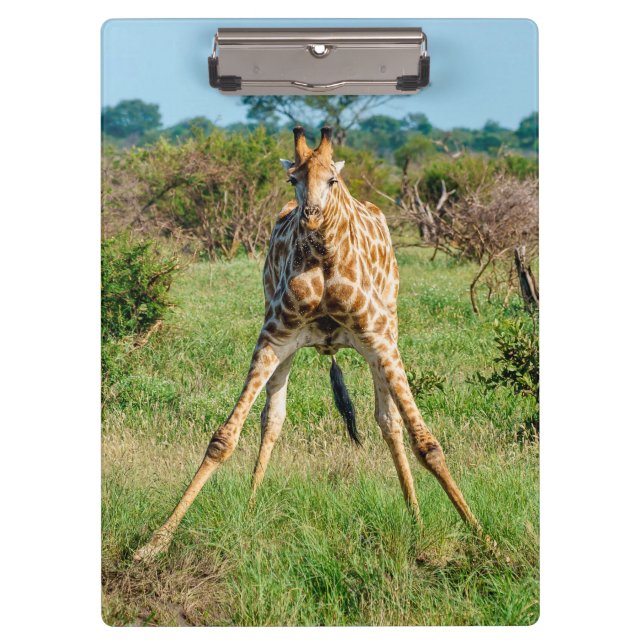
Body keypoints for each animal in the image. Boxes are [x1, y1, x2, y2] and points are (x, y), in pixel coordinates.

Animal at [133, 126, 482, 561]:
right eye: (292, 179)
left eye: (332, 180)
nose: (311, 216)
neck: (325, 259)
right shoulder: (273, 335)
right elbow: (224, 438)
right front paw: (155, 542)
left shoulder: (379, 338)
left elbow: (427, 443)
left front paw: (482, 535)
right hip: (286, 341)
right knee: (272, 419)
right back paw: (252, 504)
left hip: (387, 330)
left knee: (389, 422)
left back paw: (415, 514)